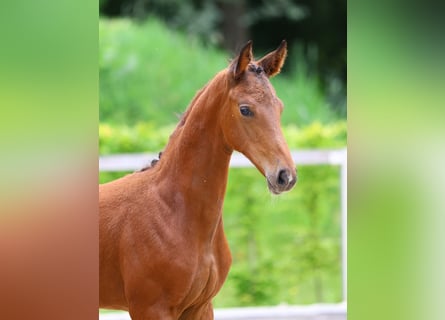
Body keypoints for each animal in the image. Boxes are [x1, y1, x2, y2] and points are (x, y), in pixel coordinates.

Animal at [99, 41, 296, 318]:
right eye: (245, 109)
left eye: (279, 108)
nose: (285, 176)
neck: (173, 210)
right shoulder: (150, 308)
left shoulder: (201, 306)